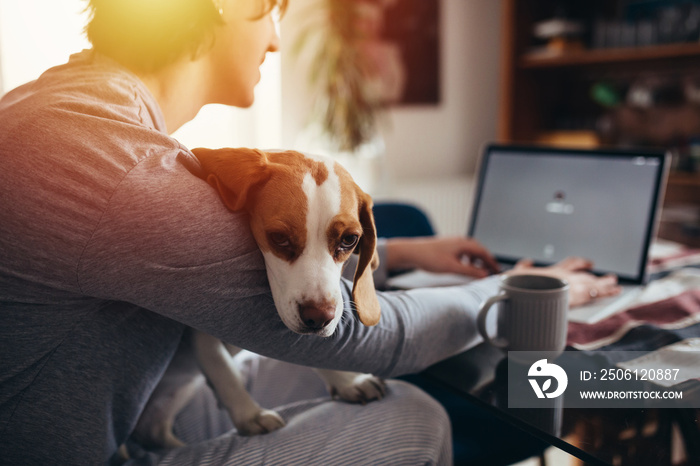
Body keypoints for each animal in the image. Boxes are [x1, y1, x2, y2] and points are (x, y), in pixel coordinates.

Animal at [134, 147, 386, 446]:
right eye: (278, 237)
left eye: (349, 240)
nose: (318, 318)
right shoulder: (198, 330)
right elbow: (222, 368)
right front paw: (250, 415)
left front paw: (347, 381)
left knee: (154, 429)